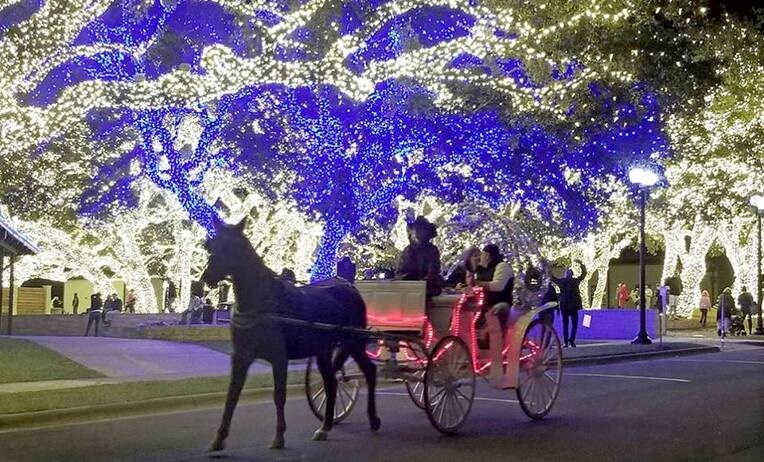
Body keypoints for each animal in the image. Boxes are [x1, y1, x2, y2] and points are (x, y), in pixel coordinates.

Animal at [201, 219, 380, 452]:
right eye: (213, 245)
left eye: (232, 247)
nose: (207, 277)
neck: (261, 303)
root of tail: (350, 286)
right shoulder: (240, 357)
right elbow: (232, 395)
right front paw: (219, 438)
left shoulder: (279, 358)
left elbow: (279, 395)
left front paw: (279, 437)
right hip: (325, 350)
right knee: (332, 382)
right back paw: (326, 427)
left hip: (354, 342)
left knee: (368, 371)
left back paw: (372, 419)